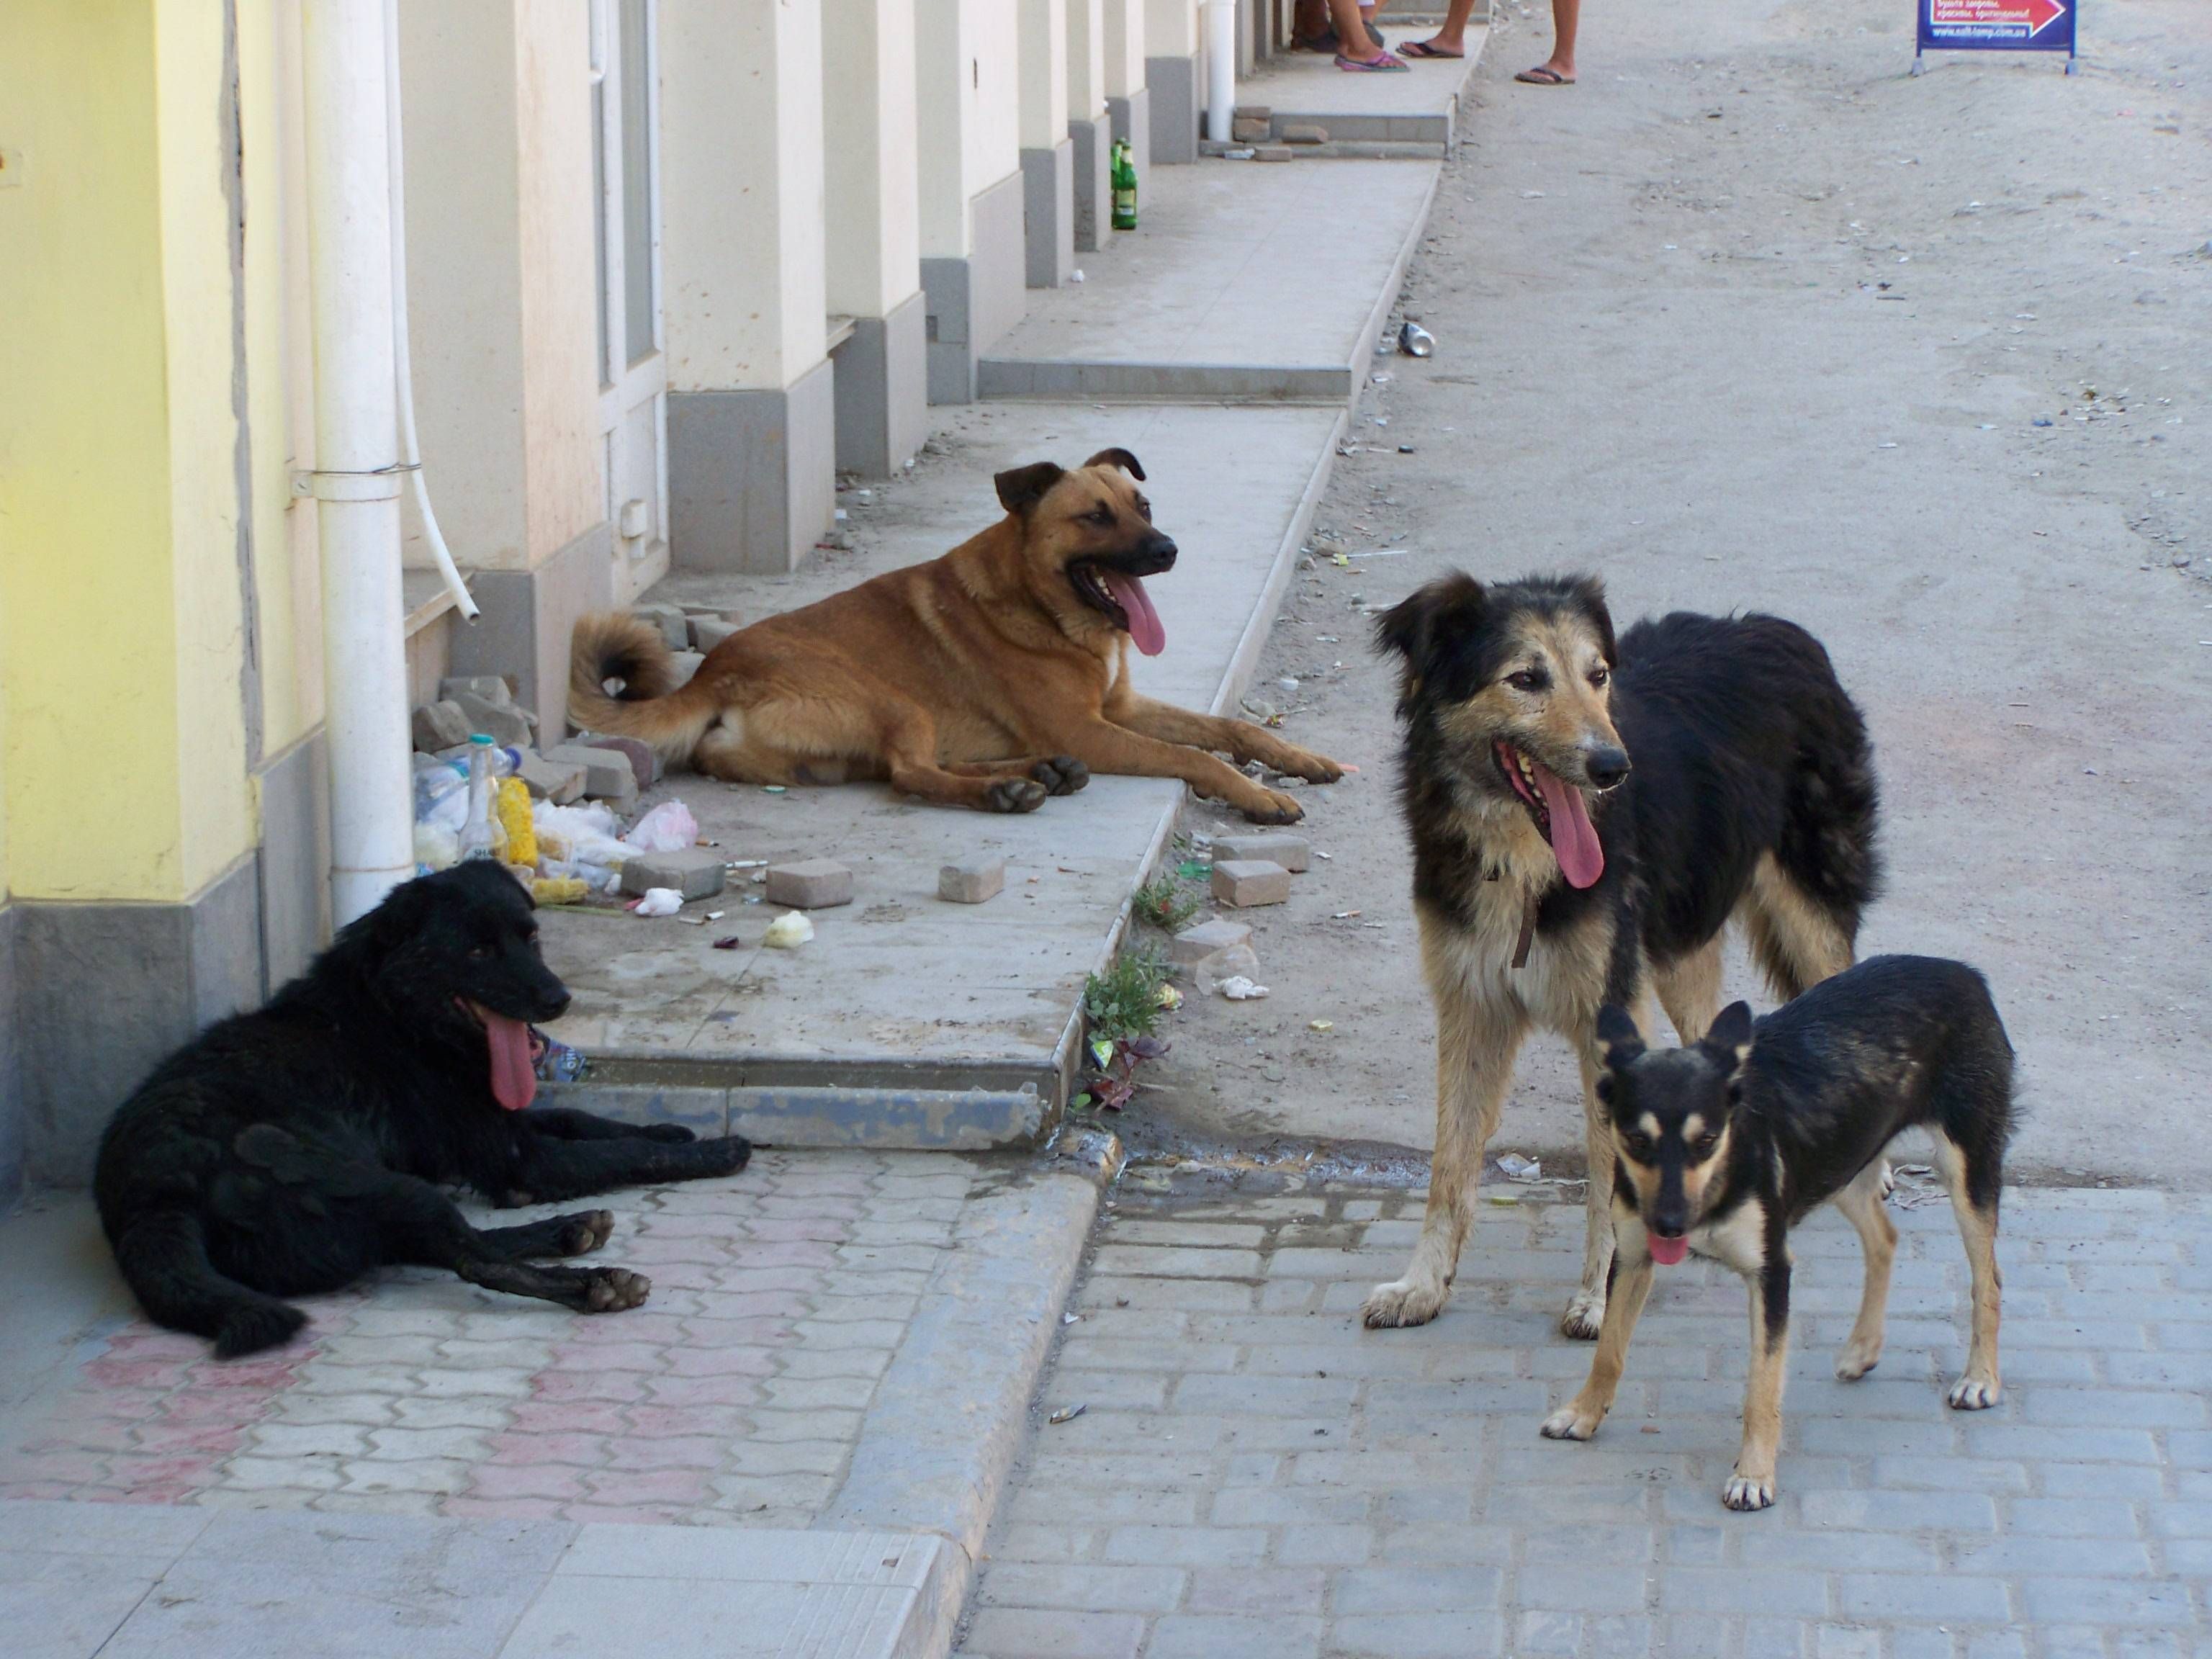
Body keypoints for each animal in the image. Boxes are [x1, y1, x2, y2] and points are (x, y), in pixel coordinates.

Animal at [93, 863, 752, 1354]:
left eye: (530, 937)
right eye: (479, 951)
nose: (558, 999)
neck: (397, 1014)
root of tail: (156, 1195)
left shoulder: (494, 1125)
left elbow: (584, 1121)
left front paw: (668, 1129)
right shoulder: (520, 1157)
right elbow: (620, 1152)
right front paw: (714, 1151)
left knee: (449, 1244)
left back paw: (571, 1230)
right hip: (372, 1182)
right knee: (472, 1259)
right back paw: (593, 1283)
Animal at [562, 451, 1336, 827]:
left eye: (1142, 505)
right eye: (1094, 516)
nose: (1168, 549)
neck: (1039, 607)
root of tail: (710, 674)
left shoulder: (1117, 712)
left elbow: (1231, 728)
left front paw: (1299, 759)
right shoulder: (1093, 729)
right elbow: (1194, 756)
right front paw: (1257, 796)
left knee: (909, 767)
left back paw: (1038, 773)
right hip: (892, 700)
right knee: (910, 772)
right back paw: (1012, 789)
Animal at [1354, 570, 1876, 1336]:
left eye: (1597, 676)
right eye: (1526, 678)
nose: (1612, 768)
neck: (1523, 861)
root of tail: (1775, 629)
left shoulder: (1609, 1013)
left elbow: (1607, 1175)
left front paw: (1602, 1295)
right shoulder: (1471, 1007)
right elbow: (1449, 1165)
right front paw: (1422, 1285)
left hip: (1808, 913)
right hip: (1678, 949)